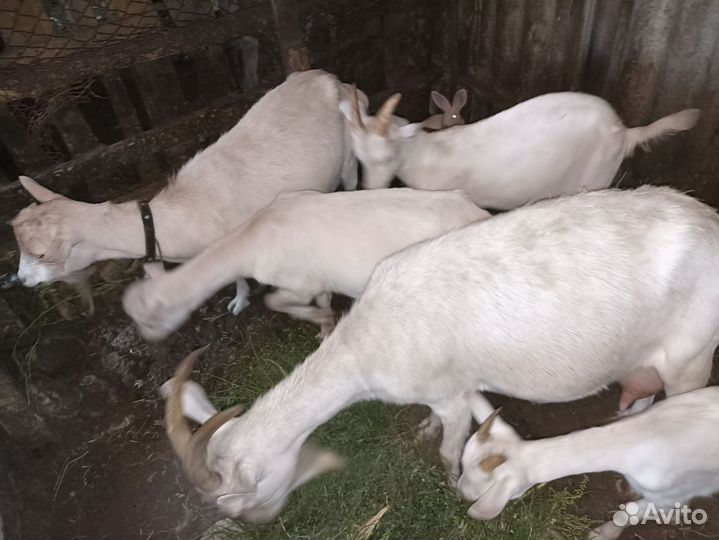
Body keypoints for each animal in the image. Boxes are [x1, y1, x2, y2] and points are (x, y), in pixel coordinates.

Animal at [11, 69, 362, 314]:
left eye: (40, 253)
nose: (23, 282)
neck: (176, 216)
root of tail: (330, 80)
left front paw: (240, 300)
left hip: (347, 157)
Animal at [122, 188, 488, 340]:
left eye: (148, 320)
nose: (145, 337)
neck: (253, 239)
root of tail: (477, 213)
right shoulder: (321, 279)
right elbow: (323, 300)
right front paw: (324, 330)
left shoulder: (298, 282)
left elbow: (273, 301)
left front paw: (323, 321)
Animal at [164, 185, 719, 522]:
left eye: (242, 501)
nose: (263, 521)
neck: (367, 342)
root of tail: (709, 218)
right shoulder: (455, 387)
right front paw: (425, 429)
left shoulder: (448, 392)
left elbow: (452, 447)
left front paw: (453, 484)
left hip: (692, 357)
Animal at [340, 89, 700, 210]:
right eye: (359, 159)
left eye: (388, 156)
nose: (369, 191)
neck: (426, 153)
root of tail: (625, 132)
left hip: (596, 177)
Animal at [458, 388, 719, 539]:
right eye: (461, 466)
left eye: (478, 494)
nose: (458, 491)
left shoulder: (673, 490)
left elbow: (629, 511)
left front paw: (602, 534)